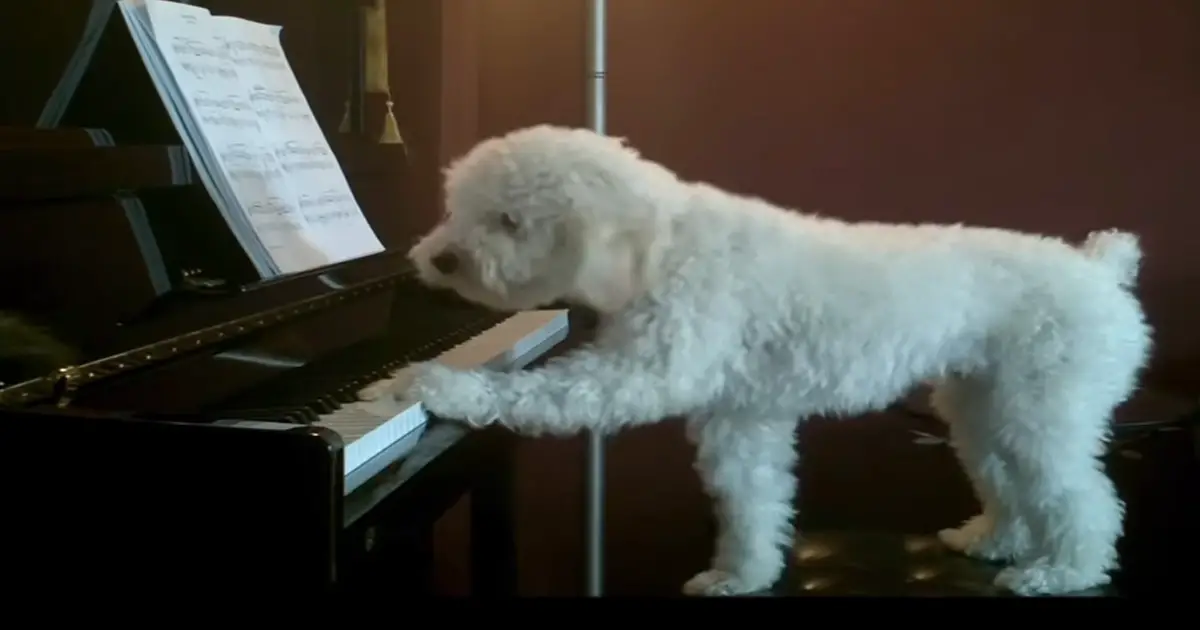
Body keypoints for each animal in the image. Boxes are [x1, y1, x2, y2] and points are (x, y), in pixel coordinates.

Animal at [393, 125, 1152, 597]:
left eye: (509, 221)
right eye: (460, 209)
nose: (437, 260)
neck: (663, 246)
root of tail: (1100, 267)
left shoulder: (640, 373)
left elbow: (536, 394)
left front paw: (441, 385)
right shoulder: (741, 420)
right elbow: (750, 503)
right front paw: (742, 575)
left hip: (1043, 411)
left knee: (1085, 499)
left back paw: (1063, 572)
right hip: (984, 409)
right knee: (1012, 487)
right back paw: (995, 540)